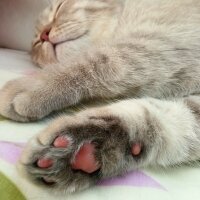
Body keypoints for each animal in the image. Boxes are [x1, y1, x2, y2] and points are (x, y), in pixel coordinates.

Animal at [0, 0, 200, 194]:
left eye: (59, 8)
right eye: (36, 44)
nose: (43, 35)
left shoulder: (164, 41)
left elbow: (96, 60)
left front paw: (31, 85)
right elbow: (162, 122)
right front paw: (87, 150)